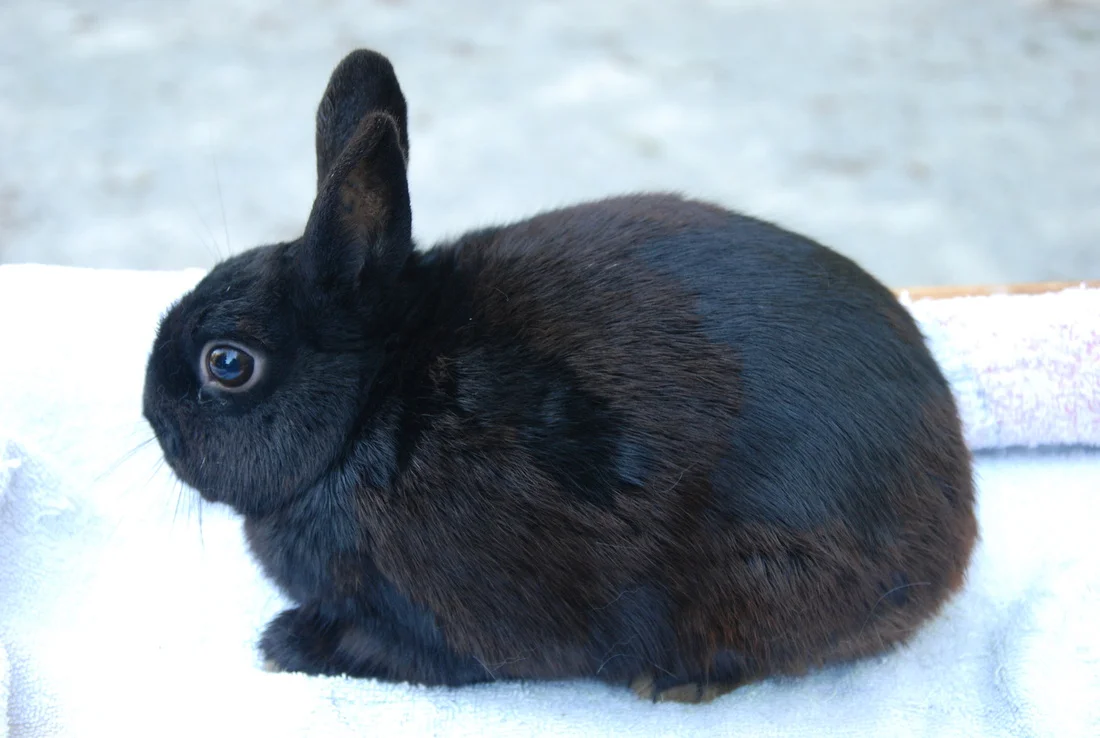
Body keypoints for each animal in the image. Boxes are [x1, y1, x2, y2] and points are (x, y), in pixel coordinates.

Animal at [142, 48, 977, 703]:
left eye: (228, 364)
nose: (153, 416)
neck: (369, 406)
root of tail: (957, 514)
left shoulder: (442, 615)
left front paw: (286, 644)